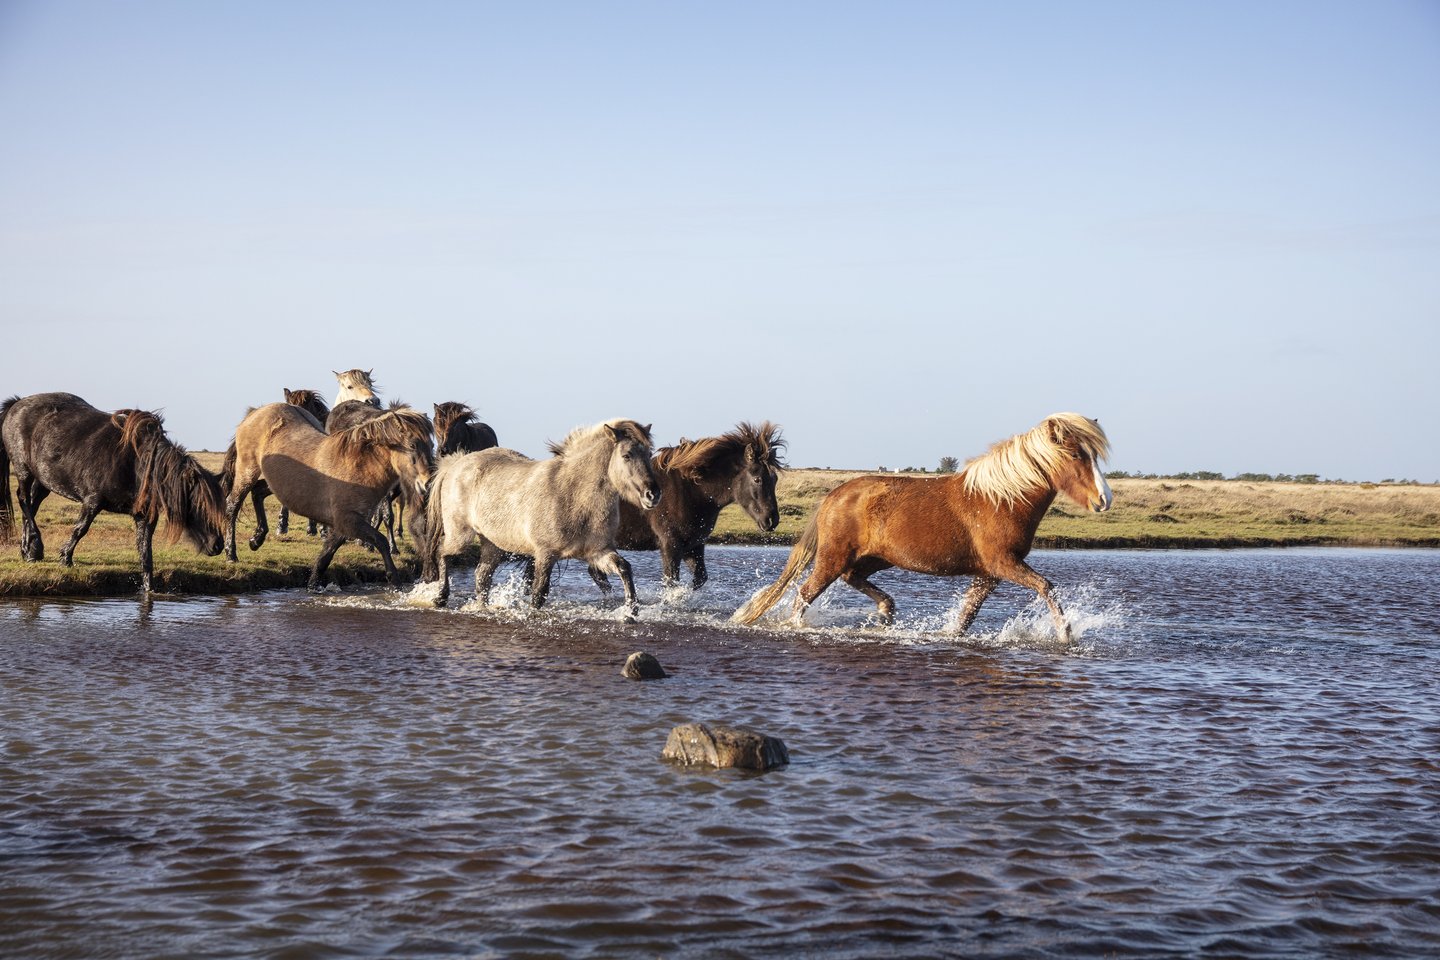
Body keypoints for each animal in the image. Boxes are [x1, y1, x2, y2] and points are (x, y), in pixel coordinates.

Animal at [0, 392, 227, 594]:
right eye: (199, 505)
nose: (218, 545)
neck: (136, 465)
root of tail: (17, 404)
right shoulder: (92, 501)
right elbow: (80, 529)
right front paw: (66, 558)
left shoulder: (143, 516)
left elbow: (146, 555)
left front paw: (148, 590)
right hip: (24, 470)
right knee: (23, 500)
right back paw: (35, 548)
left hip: (43, 481)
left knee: (31, 506)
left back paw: (27, 551)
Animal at [422, 419, 661, 618]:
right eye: (627, 455)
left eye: (648, 454)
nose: (653, 494)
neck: (573, 494)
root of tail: (456, 465)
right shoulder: (546, 554)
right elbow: (539, 593)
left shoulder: (598, 552)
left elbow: (624, 568)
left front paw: (631, 611)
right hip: (460, 536)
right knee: (442, 553)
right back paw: (440, 598)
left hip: (493, 545)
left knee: (482, 576)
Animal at [595, 421, 785, 590]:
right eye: (757, 479)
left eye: (775, 479)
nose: (771, 520)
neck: (693, 493)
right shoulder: (670, 546)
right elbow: (671, 583)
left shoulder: (694, 546)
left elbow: (699, 579)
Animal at [732, 413, 1112, 643]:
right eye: (1076, 455)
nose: (1103, 500)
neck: (1002, 499)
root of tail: (834, 496)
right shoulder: (1003, 563)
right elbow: (1046, 587)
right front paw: (1066, 636)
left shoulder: (988, 574)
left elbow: (965, 617)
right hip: (833, 557)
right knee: (804, 594)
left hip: (875, 558)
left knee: (852, 579)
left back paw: (886, 613)